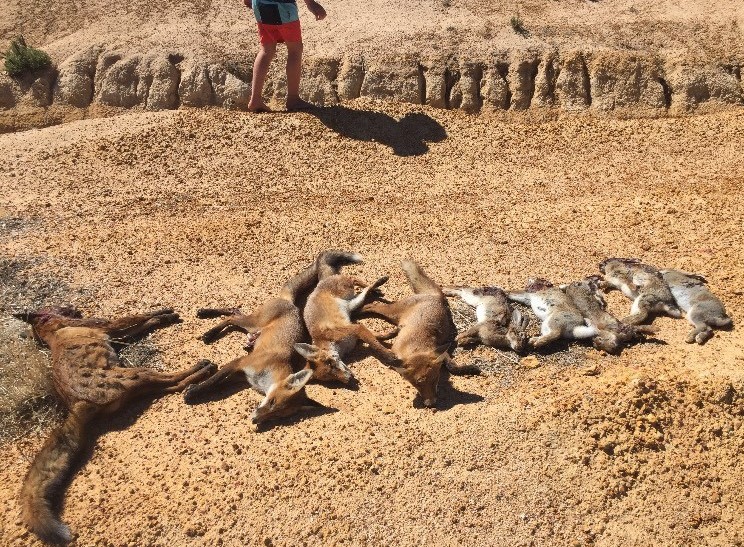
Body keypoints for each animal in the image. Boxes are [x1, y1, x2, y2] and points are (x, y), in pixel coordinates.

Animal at [12, 306, 213, 545]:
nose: (75, 309)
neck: (49, 329)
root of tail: (76, 405)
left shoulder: (114, 335)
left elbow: (144, 323)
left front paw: (161, 316)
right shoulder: (107, 326)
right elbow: (140, 317)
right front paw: (164, 313)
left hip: (140, 384)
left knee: (173, 386)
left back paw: (196, 376)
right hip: (137, 374)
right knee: (173, 380)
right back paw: (202, 369)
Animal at [183, 250, 363, 422]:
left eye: (278, 415)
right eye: (272, 402)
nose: (255, 420)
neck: (265, 374)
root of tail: (290, 303)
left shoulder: (241, 376)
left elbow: (218, 384)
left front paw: (192, 389)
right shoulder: (239, 363)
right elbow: (212, 381)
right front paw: (192, 393)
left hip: (254, 327)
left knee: (234, 311)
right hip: (254, 322)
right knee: (231, 317)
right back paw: (208, 327)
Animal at [359, 260, 480, 407]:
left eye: (435, 379)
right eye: (417, 384)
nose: (431, 403)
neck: (415, 346)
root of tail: (436, 296)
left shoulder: (437, 350)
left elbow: (452, 366)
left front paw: (468, 368)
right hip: (392, 312)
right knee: (370, 305)